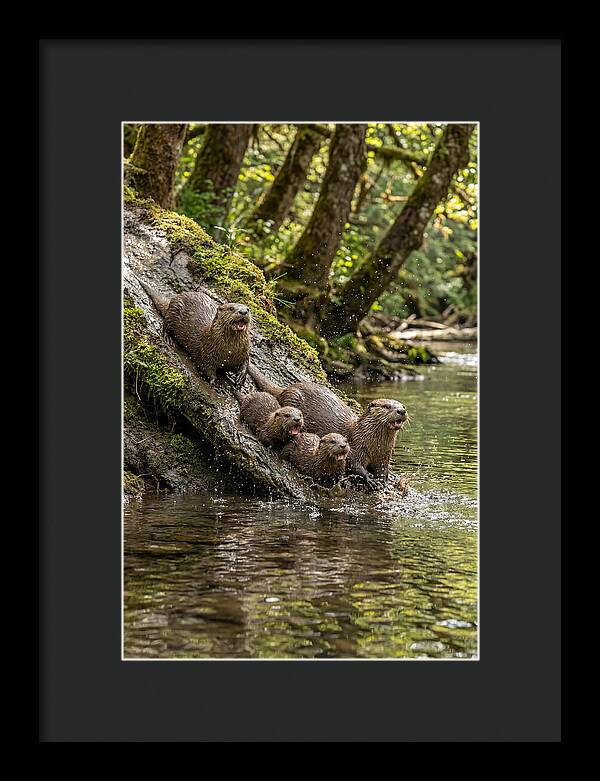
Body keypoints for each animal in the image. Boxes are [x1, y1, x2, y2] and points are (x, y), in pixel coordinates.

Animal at [248, 365, 408, 489]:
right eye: (388, 406)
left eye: (403, 406)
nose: (402, 411)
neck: (374, 445)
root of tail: (286, 389)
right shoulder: (356, 447)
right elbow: (354, 465)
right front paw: (370, 479)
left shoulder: (384, 457)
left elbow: (383, 470)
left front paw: (384, 481)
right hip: (292, 400)